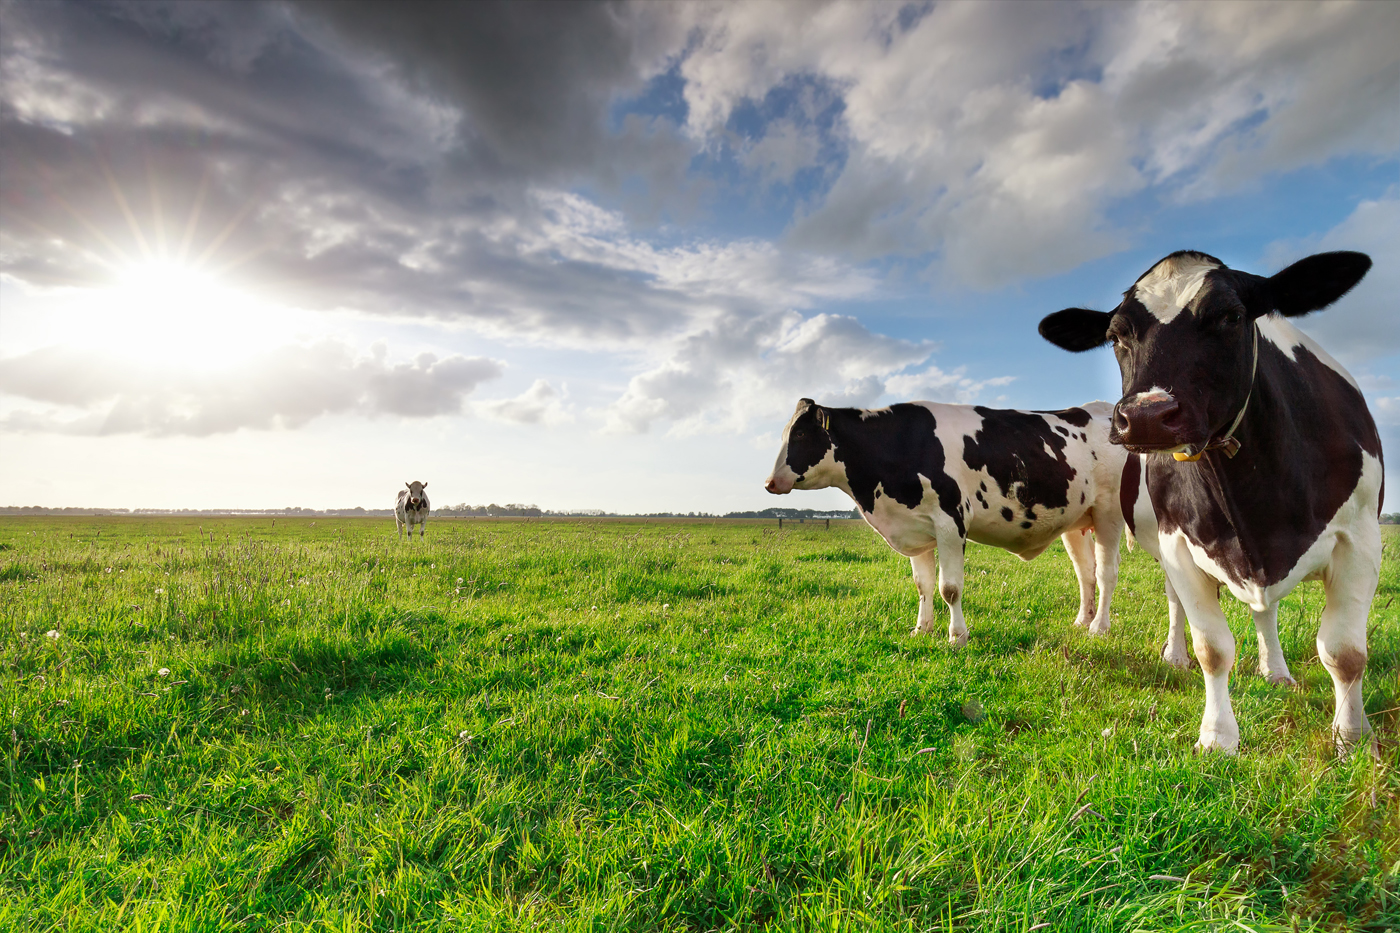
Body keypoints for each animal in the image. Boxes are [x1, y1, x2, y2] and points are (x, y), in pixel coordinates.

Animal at [767, 395, 1125, 644]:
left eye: (801, 435)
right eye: (785, 433)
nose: (770, 482)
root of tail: (1104, 408)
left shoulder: (951, 521)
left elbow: (949, 588)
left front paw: (957, 636)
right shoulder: (917, 526)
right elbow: (923, 584)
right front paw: (921, 629)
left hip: (1110, 513)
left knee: (1106, 573)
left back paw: (1099, 627)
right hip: (1077, 522)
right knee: (1085, 572)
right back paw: (1082, 621)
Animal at [1041, 249, 1377, 756]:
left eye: (1231, 317)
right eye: (1116, 335)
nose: (1146, 416)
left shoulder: (1360, 540)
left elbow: (1345, 653)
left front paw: (1352, 739)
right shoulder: (1179, 546)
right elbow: (1213, 649)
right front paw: (1218, 737)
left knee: (1265, 611)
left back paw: (1276, 671)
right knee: (1178, 604)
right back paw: (1175, 655)